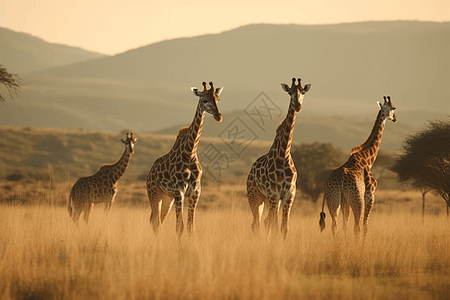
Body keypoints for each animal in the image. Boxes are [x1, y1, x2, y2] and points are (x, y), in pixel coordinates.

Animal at [148, 81, 223, 238]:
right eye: (204, 100)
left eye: (218, 99)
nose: (218, 116)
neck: (190, 153)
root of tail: (150, 172)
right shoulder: (179, 191)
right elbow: (179, 227)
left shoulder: (195, 192)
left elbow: (190, 227)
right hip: (154, 193)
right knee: (155, 221)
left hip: (167, 198)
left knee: (158, 221)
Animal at [248, 77, 312, 239]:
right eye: (289, 92)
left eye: (303, 92)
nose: (297, 105)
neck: (283, 155)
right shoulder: (274, 194)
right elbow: (276, 226)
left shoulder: (289, 196)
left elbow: (284, 228)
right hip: (255, 196)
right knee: (256, 223)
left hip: (267, 200)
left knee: (264, 222)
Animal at [320, 96, 398, 237]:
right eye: (393, 108)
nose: (395, 118)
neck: (367, 158)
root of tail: (341, 181)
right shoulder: (370, 194)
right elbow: (365, 226)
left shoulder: (345, 201)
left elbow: (345, 225)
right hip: (357, 201)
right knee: (356, 227)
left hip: (334, 200)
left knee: (335, 226)